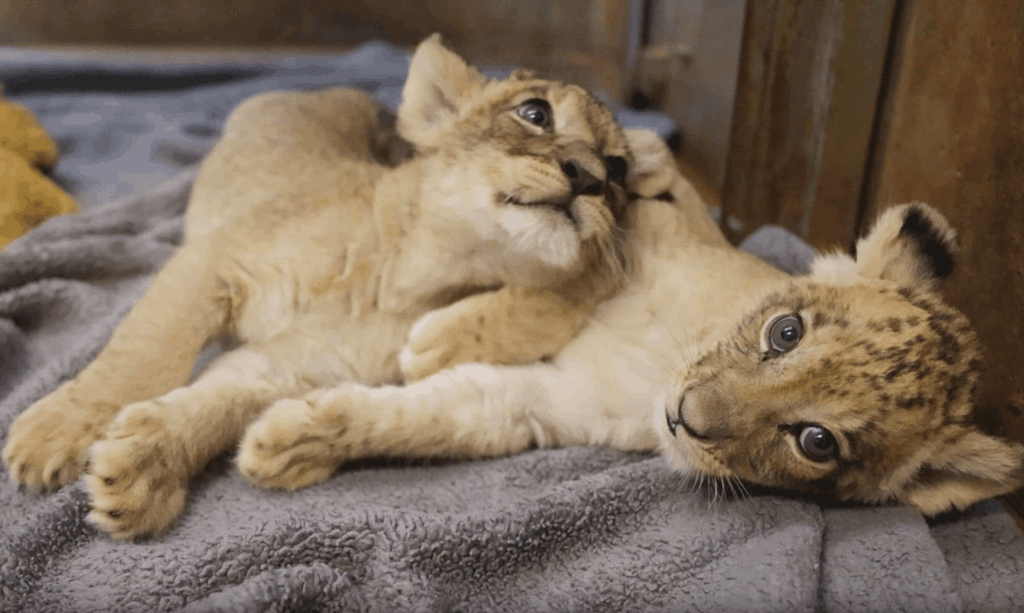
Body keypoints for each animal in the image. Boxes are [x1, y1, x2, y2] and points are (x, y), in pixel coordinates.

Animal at [2, 34, 635, 539]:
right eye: (534, 113)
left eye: (619, 170)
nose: (589, 178)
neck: (414, 279)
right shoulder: (212, 263)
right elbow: (143, 356)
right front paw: (54, 436)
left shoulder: (294, 365)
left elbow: (216, 399)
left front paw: (142, 469)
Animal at [235, 129, 1024, 517]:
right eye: (786, 333)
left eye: (817, 442)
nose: (683, 416)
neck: (661, 362)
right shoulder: (644, 224)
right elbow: (577, 254)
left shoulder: (544, 406)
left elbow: (427, 418)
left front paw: (288, 442)